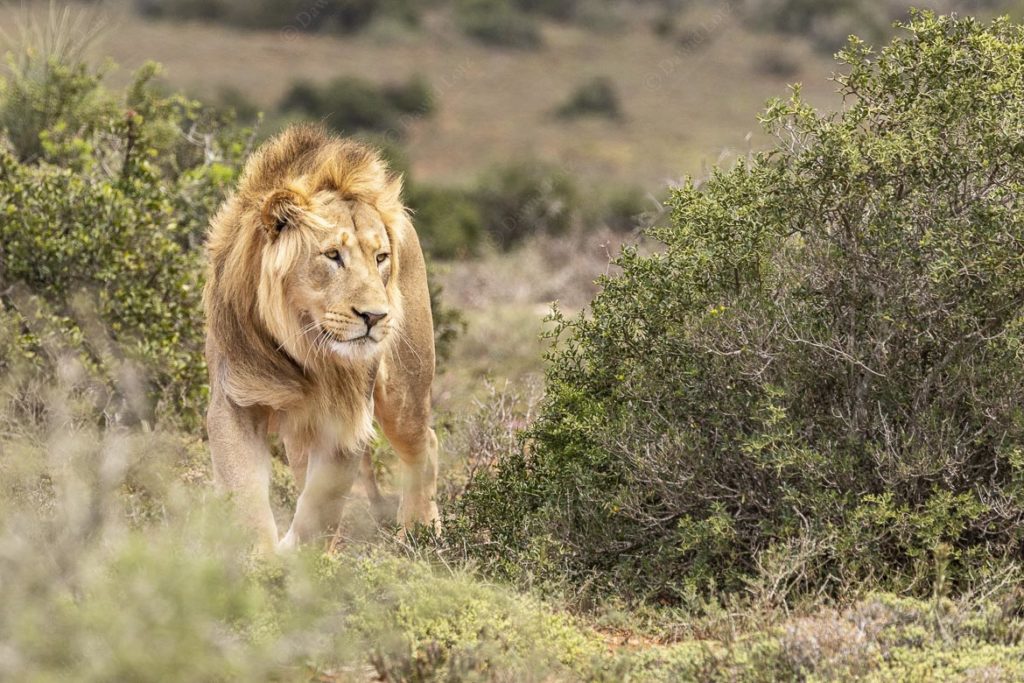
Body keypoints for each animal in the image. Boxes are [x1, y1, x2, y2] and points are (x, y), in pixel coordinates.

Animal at [202, 124, 436, 548]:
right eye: (332, 256)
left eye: (380, 258)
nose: (375, 316)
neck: (301, 349)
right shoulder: (234, 402)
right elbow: (245, 494)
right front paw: (261, 558)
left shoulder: (346, 416)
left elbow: (322, 503)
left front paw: (298, 556)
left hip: (405, 393)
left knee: (424, 445)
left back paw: (419, 533)